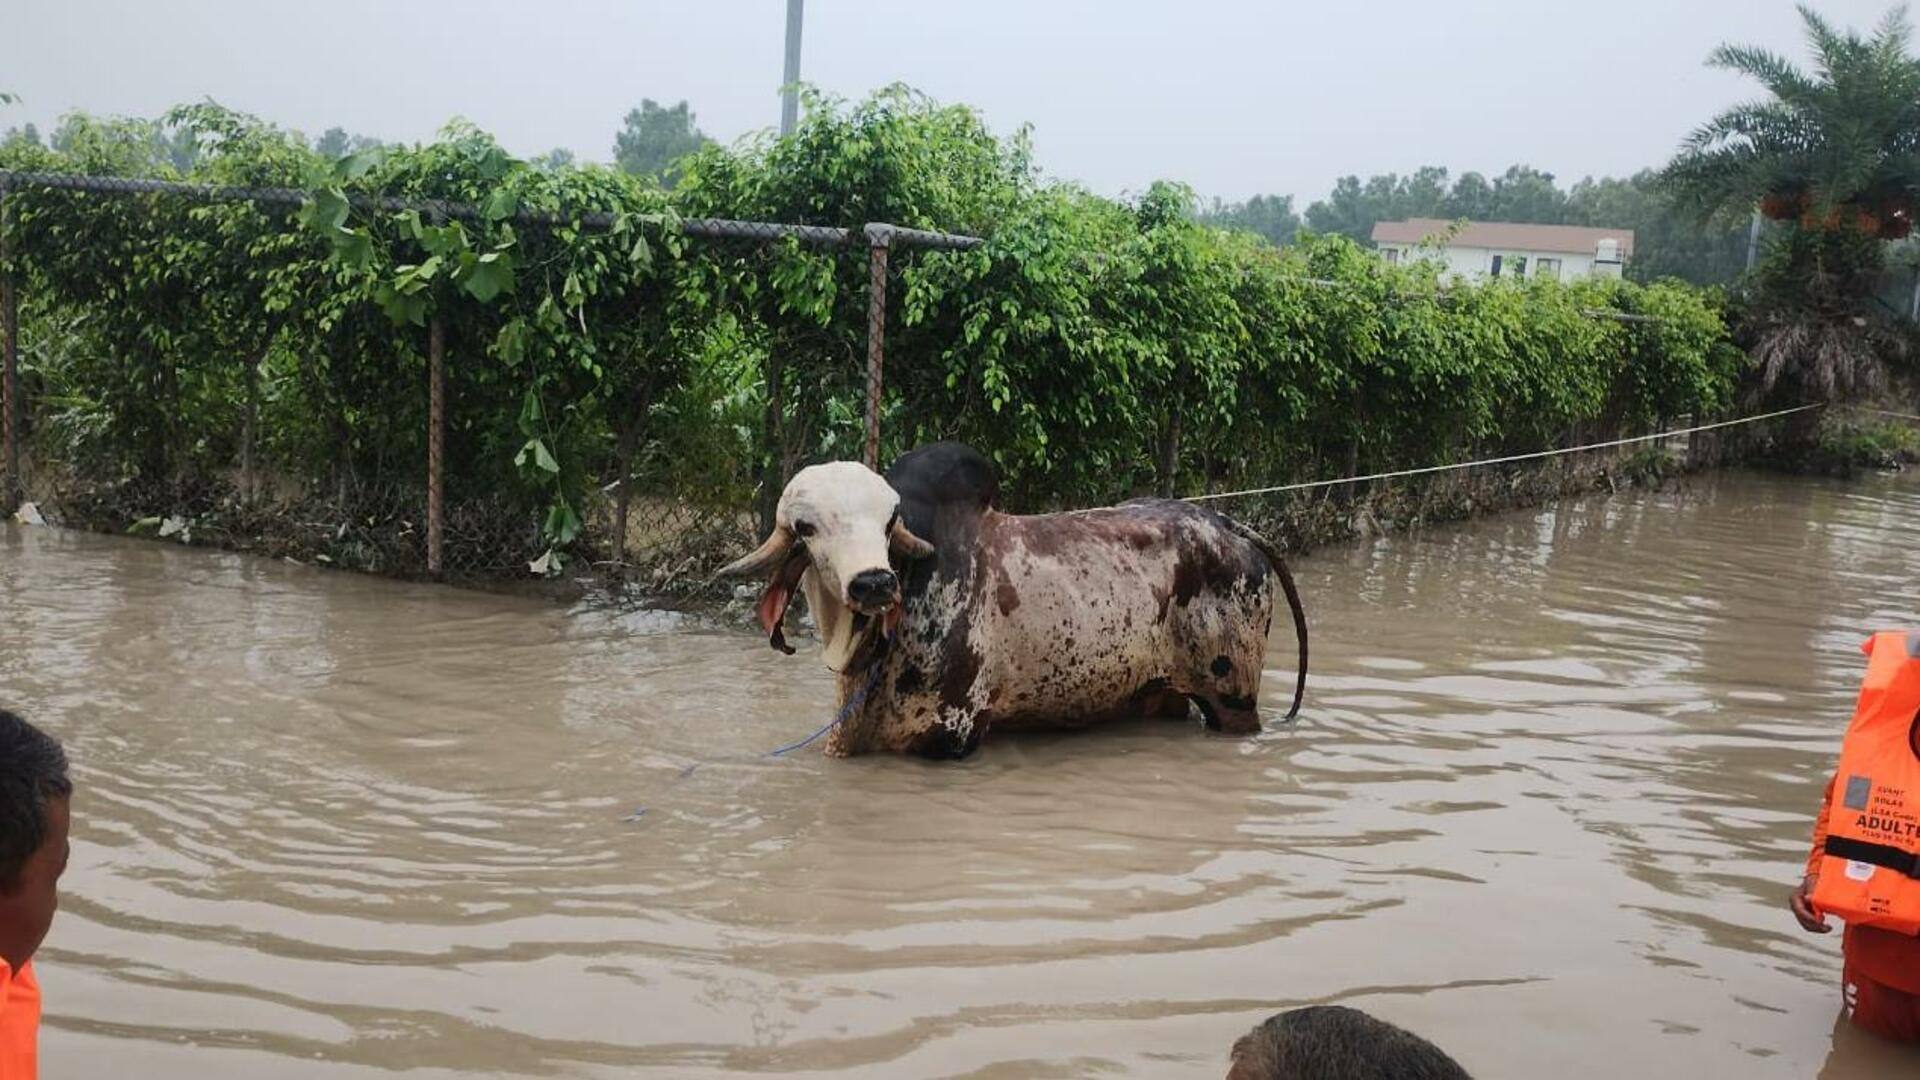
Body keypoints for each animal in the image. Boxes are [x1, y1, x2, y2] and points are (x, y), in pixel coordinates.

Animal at [721, 440, 1305, 757]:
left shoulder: (950, 738)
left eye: (890, 521)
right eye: (806, 527)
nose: (874, 583)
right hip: (1161, 694)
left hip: (1232, 698)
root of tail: (1227, 523)